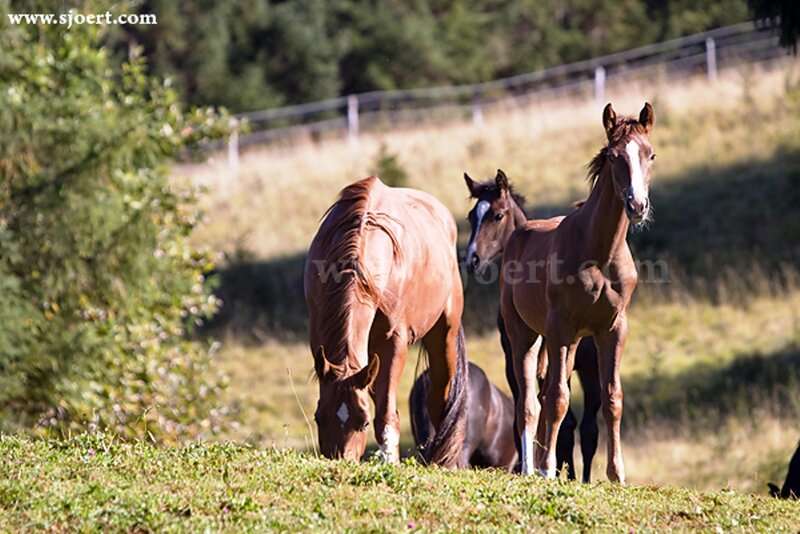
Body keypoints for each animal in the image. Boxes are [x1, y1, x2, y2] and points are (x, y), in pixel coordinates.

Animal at [304, 176, 469, 467]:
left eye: (363, 422)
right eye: (318, 418)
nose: (341, 459)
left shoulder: (394, 342)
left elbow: (385, 414)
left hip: (444, 335)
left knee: (439, 397)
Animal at [463, 170, 600, 482]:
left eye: (498, 215)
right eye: (471, 217)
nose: (472, 260)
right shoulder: (513, 356)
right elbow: (527, 406)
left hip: (590, 366)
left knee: (589, 427)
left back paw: (580, 476)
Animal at [499, 103, 655, 481]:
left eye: (651, 154)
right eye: (613, 156)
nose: (637, 206)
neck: (599, 253)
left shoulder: (612, 329)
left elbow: (612, 399)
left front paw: (616, 474)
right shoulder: (560, 328)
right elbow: (557, 398)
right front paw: (547, 469)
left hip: (564, 343)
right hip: (525, 335)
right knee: (528, 400)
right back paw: (531, 468)